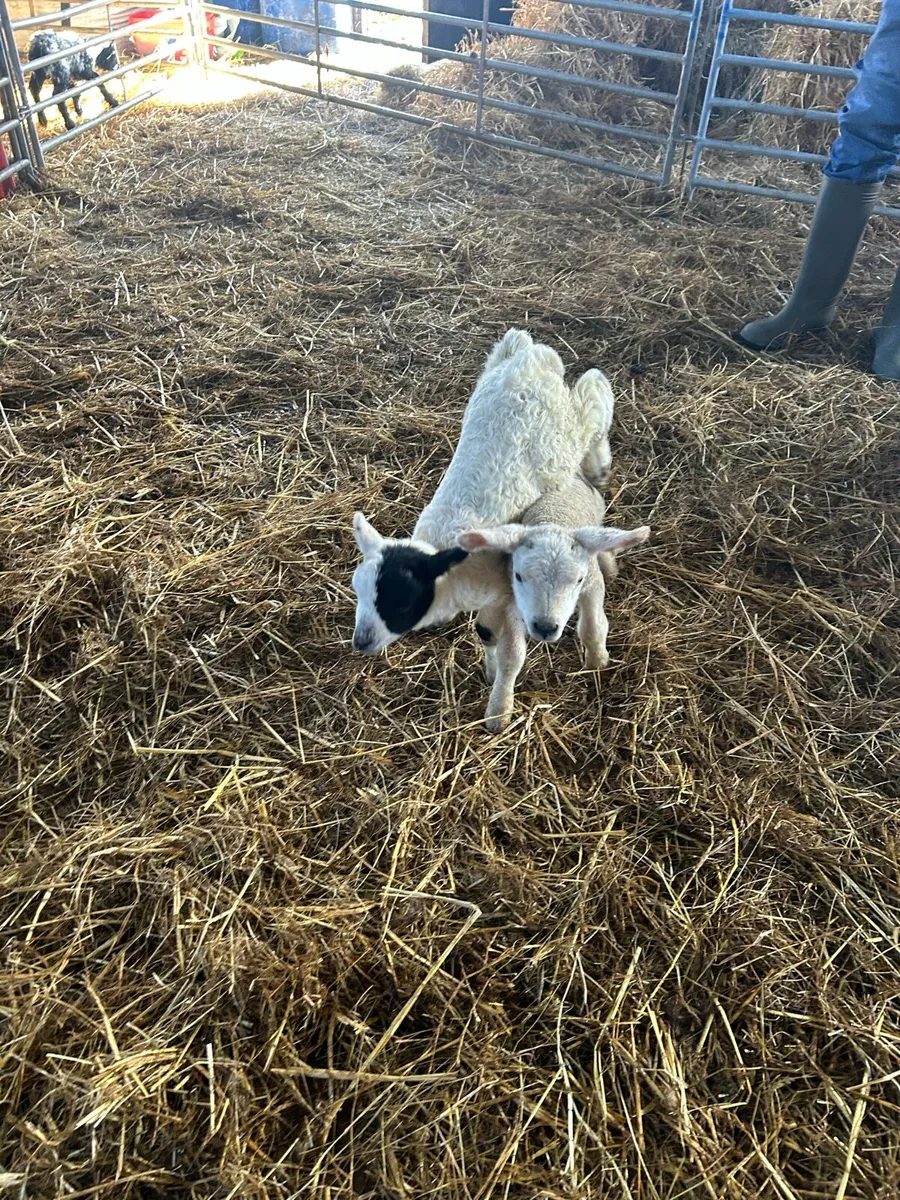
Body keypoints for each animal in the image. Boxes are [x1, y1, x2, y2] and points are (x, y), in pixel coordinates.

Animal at [351, 328, 614, 729]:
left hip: (568, 428)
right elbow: (485, 633)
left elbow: (501, 643)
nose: (360, 642)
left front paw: (497, 702)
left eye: (403, 600)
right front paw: (490, 673)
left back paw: (599, 464)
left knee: (594, 393)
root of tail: (533, 358)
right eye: (358, 590)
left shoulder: (506, 593)